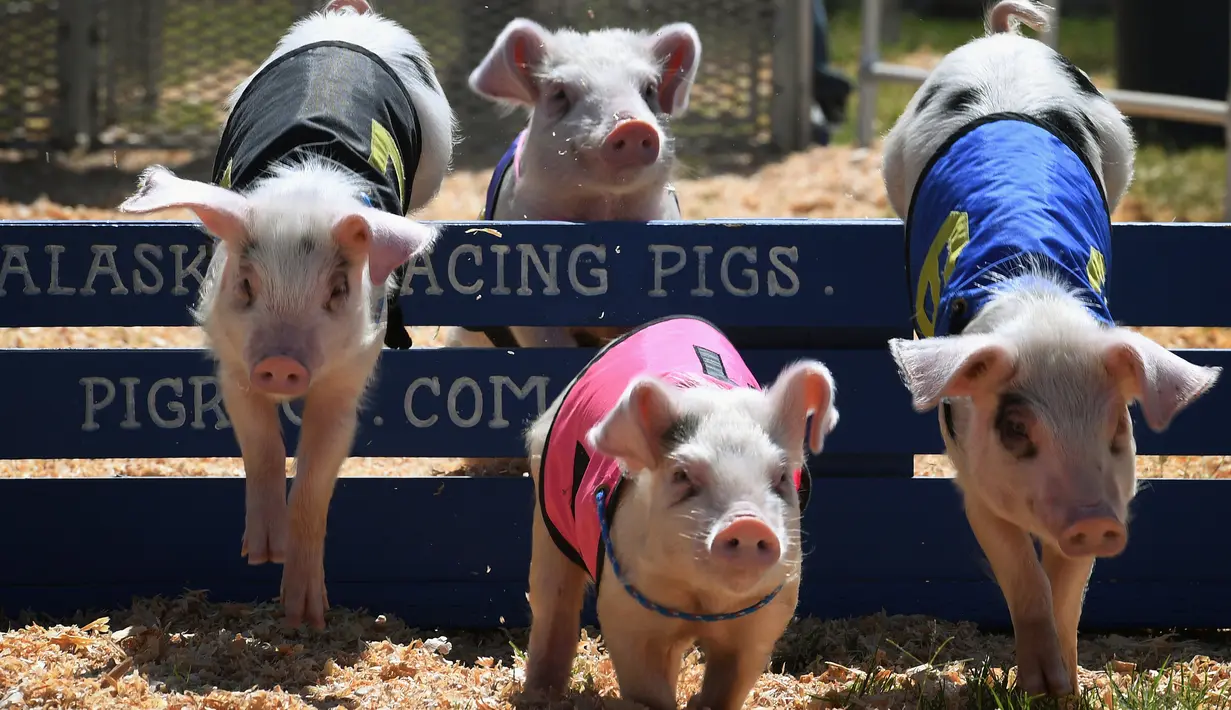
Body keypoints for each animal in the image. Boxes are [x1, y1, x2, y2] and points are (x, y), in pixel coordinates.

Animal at [117, 0, 456, 629]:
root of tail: (349, 24)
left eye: (338, 290)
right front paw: (258, 556)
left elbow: (316, 483)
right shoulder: (230, 357)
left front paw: (305, 616)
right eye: (247, 284)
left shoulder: (352, 371)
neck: (306, 193)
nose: (280, 362)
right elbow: (262, 445)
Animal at [521, 315, 839, 710]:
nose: (748, 523)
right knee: (553, 607)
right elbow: (648, 690)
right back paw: (539, 695)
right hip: (547, 523)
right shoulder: (627, 611)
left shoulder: (766, 616)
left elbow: (729, 686)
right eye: (682, 476)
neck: (704, 602)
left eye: (780, 476)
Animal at [882, 0, 1221, 696]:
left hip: (1121, 152)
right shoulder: (973, 473)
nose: (1094, 517)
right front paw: (1034, 686)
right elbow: (1019, 569)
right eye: (1016, 429)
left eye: (1118, 427)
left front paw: (1068, 686)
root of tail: (1003, 39)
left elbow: (1070, 585)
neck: (1038, 299)